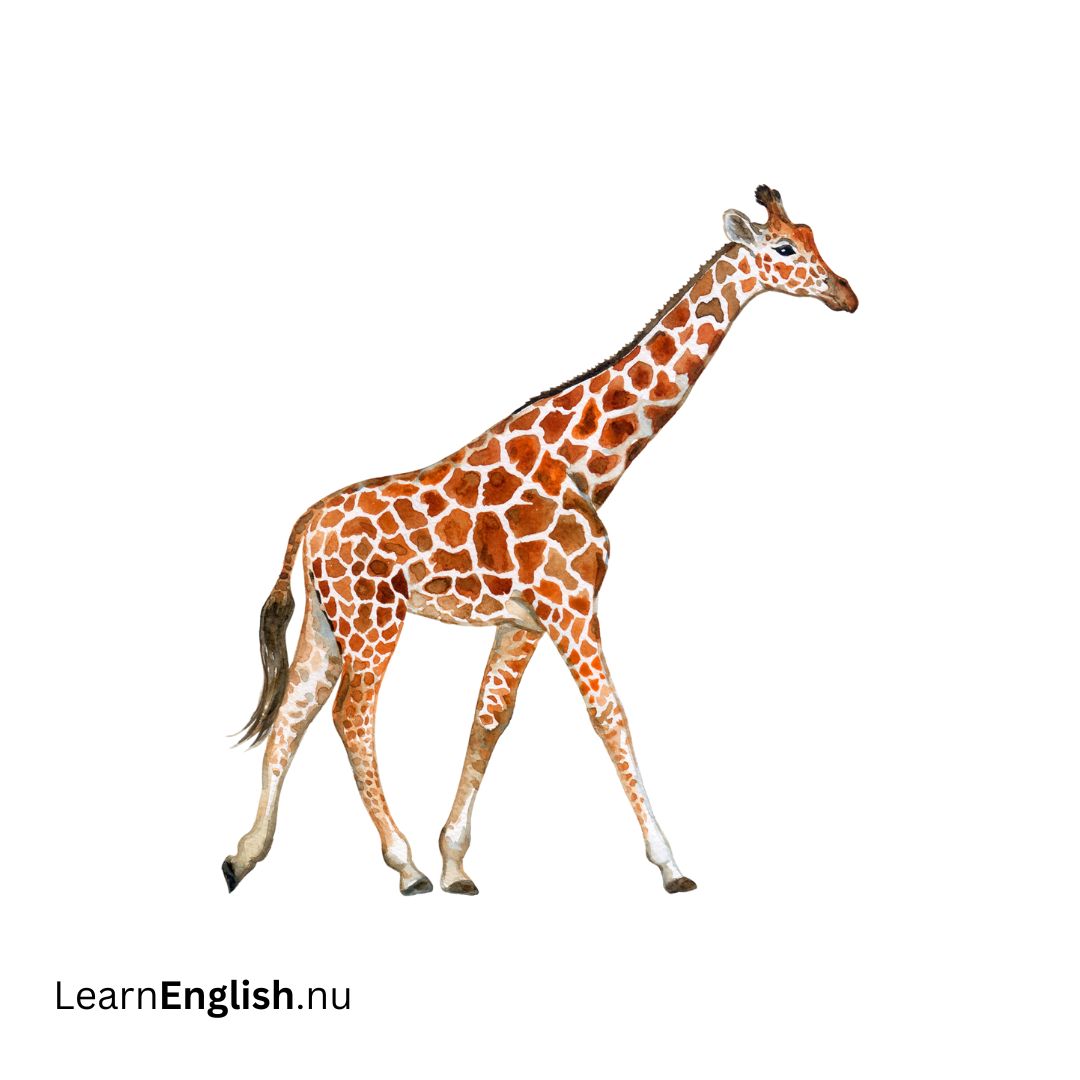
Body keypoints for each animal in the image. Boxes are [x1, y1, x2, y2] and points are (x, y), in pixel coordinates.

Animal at [223, 185, 857, 896]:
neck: (589, 463)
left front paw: (456, 863)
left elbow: (488, 720)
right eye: (785, 248)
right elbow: (610, 715)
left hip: (326, 622)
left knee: (291, 717)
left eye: (812, 235)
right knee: (350, 717)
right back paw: (403, 865)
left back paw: (244, 856)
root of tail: (306, 523)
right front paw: (670, 865)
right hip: (374, 618)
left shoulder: (522, 621)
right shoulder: (571, 603)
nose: (846, 294)